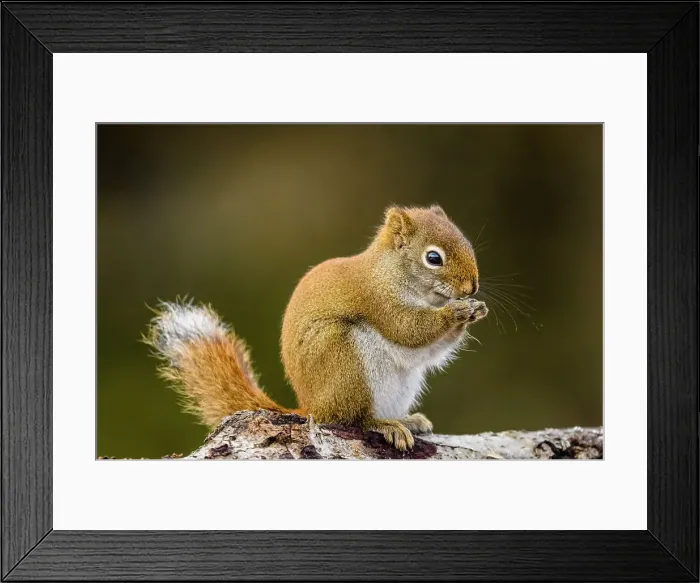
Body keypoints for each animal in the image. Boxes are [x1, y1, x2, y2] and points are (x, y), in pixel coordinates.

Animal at [145, 204, 487, 451]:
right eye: (433, 258)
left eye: (467, 243)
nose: (471, 287)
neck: (390, 272)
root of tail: (311, 408)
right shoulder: (377, 299)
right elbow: (409, 329)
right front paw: (456, 312)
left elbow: (427, 351)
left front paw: (476, 310)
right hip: (345, 361)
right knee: (353, 419)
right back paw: (383, 424)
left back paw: (407, 420)